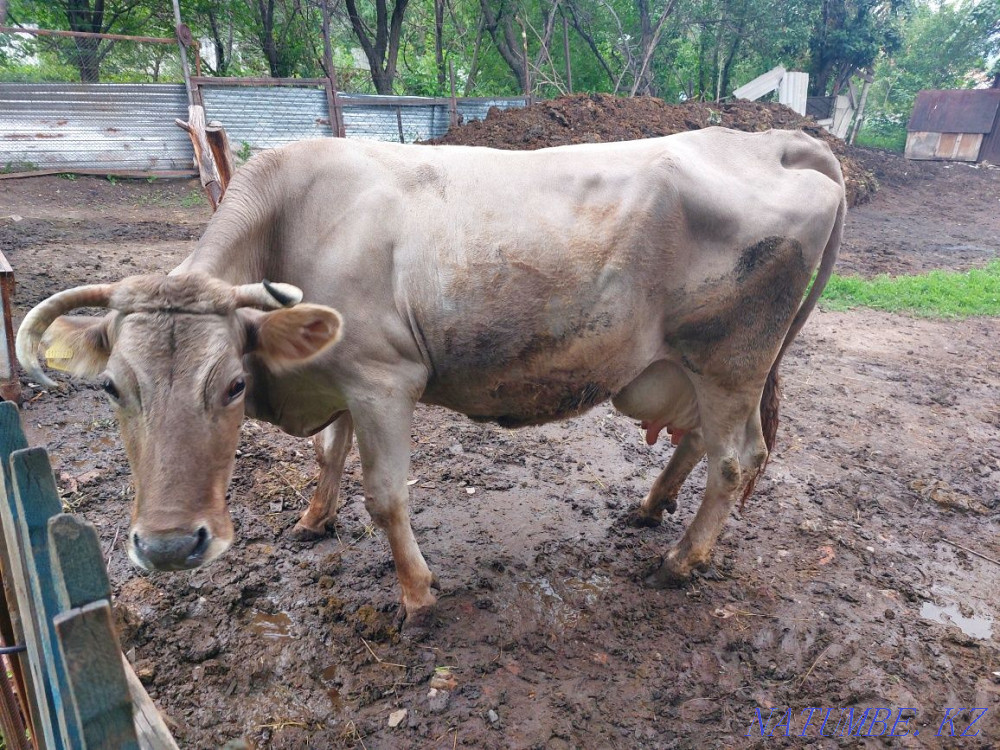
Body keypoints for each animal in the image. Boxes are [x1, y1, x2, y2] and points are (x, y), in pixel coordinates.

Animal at [16, 127, 845, 625]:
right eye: (112, 388)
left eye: (231, 385)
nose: (165, 547)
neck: (292, 216)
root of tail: (771, 140)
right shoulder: (338, 367)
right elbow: (330, 453)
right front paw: (313, 519)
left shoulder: (382, 377)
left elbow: (385, 495)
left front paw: (417, 594)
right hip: (697, 365)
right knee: (701, 442)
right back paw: (650, 507)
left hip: (732, 358)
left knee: (736, 457)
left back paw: (679, 562)